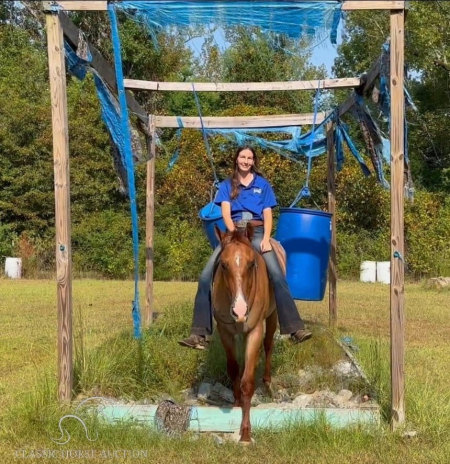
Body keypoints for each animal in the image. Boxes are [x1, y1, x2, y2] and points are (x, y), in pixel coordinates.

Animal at [214, 223, 284, 444]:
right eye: (224, 265)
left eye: (252, 263)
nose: (240, 310)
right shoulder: (225, 331)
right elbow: (234, 369)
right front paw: (236, 403)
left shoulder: (254, 332)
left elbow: (247, 382)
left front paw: (245, 433)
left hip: (272, 316)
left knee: (268, 345)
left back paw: (268, 383)